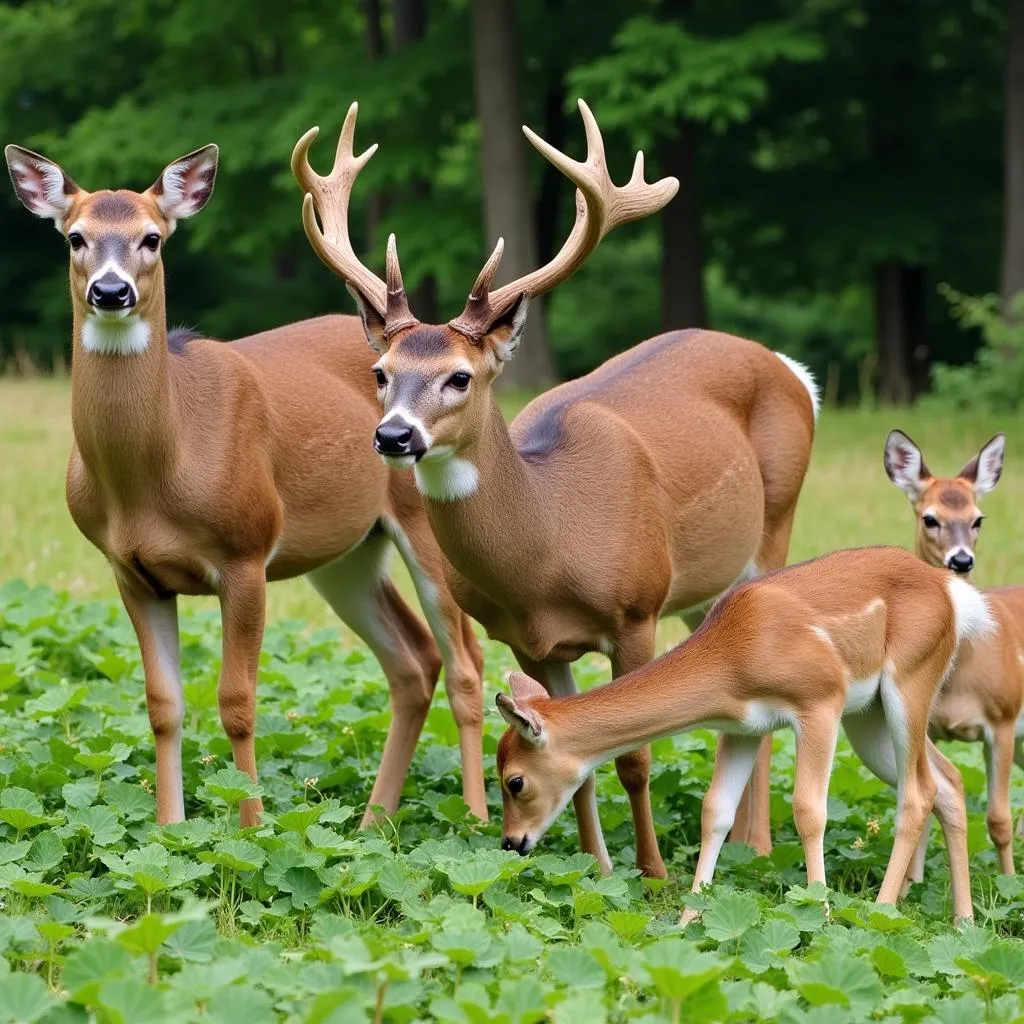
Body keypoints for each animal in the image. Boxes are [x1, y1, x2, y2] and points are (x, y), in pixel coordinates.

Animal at [6, 132, 487, 831]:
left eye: (153, 238)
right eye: (75, 237)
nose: (111, 290)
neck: (156, 476)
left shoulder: (247, 550)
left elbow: (237, 702)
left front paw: (252, 828)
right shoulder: (129, 570)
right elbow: (162, 704)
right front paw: (169, 828)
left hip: (425, 522)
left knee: (466, 664)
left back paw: (475, 820)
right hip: (346, 553)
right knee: (413, 662)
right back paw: (373, 821)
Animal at [294, 99, 815, 876]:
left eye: (460, 376)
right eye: (379, 372)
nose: (393, 436)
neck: (550, 545)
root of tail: (790, 368)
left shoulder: (636, 610)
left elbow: (633, 759)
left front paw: (653, 877)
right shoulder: (529, 641)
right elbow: (580, 764)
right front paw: (597, 871)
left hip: (775, 523)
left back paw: (756, 846)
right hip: (707, 583)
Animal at [495, 548, 991, 925]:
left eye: (515, 781)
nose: (511, 843)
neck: (734, 658)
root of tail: (956, 596)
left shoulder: (819, 701)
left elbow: (809, 809)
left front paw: (821, 914)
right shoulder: (744, 728)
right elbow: (714, 810)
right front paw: (688, 920)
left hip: (910, 680)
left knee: (919, 790)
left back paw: (882, 909)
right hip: (869, 718)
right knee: (948, 780)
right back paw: (962, 919)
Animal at [880, 428, 1024, 876]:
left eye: (978, 518)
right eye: (930, 518)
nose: (961, 560)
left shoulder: (1004, 719)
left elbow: (998, 819)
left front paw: (1008, 880)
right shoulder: (930, 726)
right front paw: (913, 883)